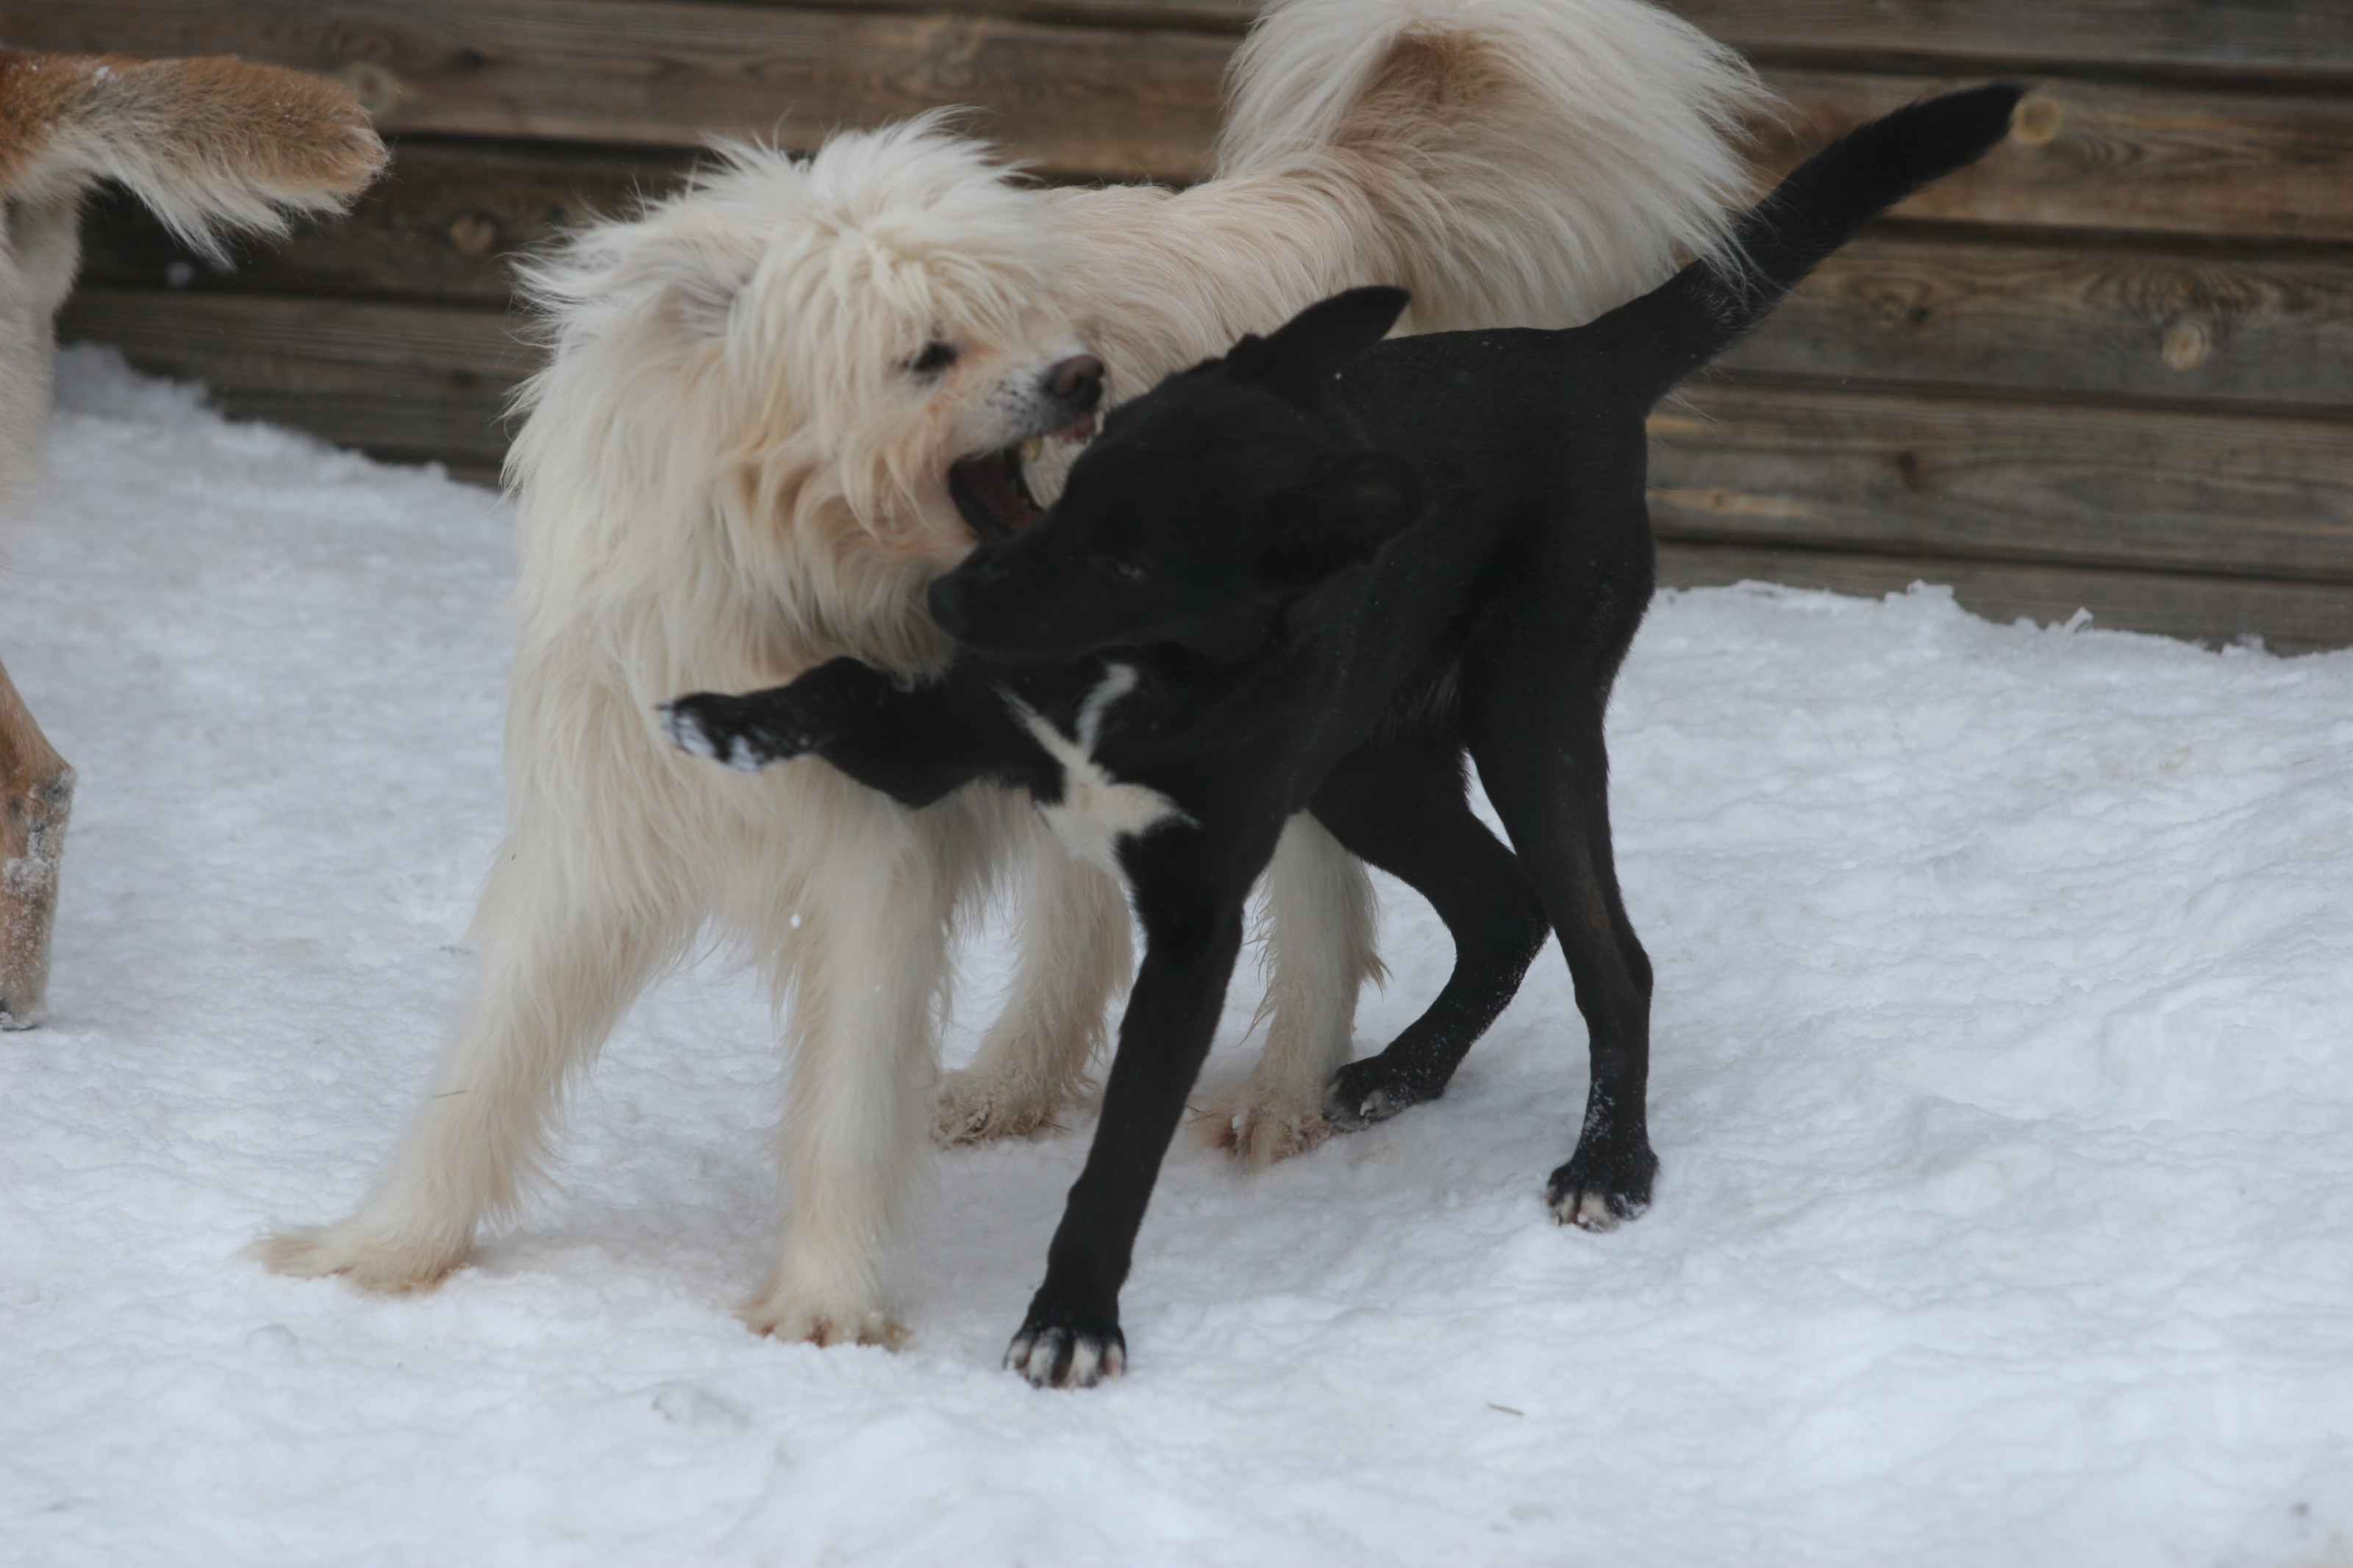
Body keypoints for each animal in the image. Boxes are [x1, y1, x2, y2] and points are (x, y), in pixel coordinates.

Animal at [257, 0, 1769, 1353]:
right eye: (928, 350)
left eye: (1027, 316)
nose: (1084, 375)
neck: (772, 572)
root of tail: (1306, 201)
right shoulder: (599, 827)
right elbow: (490, 1062)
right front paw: (385, 1249)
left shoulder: (875, 859)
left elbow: (851, 1089)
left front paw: (825, 1301)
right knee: (1097, 921)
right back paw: (1019, 1080)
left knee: (1333, 906)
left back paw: (1287, 1091)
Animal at [659, 85, 2024, 1382]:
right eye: (1076, 487)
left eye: (1133, 555)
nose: (951, 602)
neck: (1142, 679)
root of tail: (1581, 356)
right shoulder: (952, 734)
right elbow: (844, 686)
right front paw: (726, 716)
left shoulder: (1197, 923)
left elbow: (1124, 1146)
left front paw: (1072, 1320)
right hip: (1370, 773)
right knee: (1502, 906)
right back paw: (1395, 1074)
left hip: (1531, 725)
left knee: (1609, 952)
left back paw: (1609, 1162)